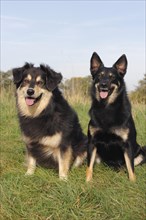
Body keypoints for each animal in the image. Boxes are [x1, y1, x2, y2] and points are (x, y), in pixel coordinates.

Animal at [86, 52, 145, 181]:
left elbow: (130, 167)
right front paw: (87, 181)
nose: (103, 84)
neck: (107, 107)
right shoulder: (92, 142)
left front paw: (132, 182)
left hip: (141, 152)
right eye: (99, 76)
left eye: (112, 77)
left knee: (126, 166)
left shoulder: (127, 145)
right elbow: (89, 166)